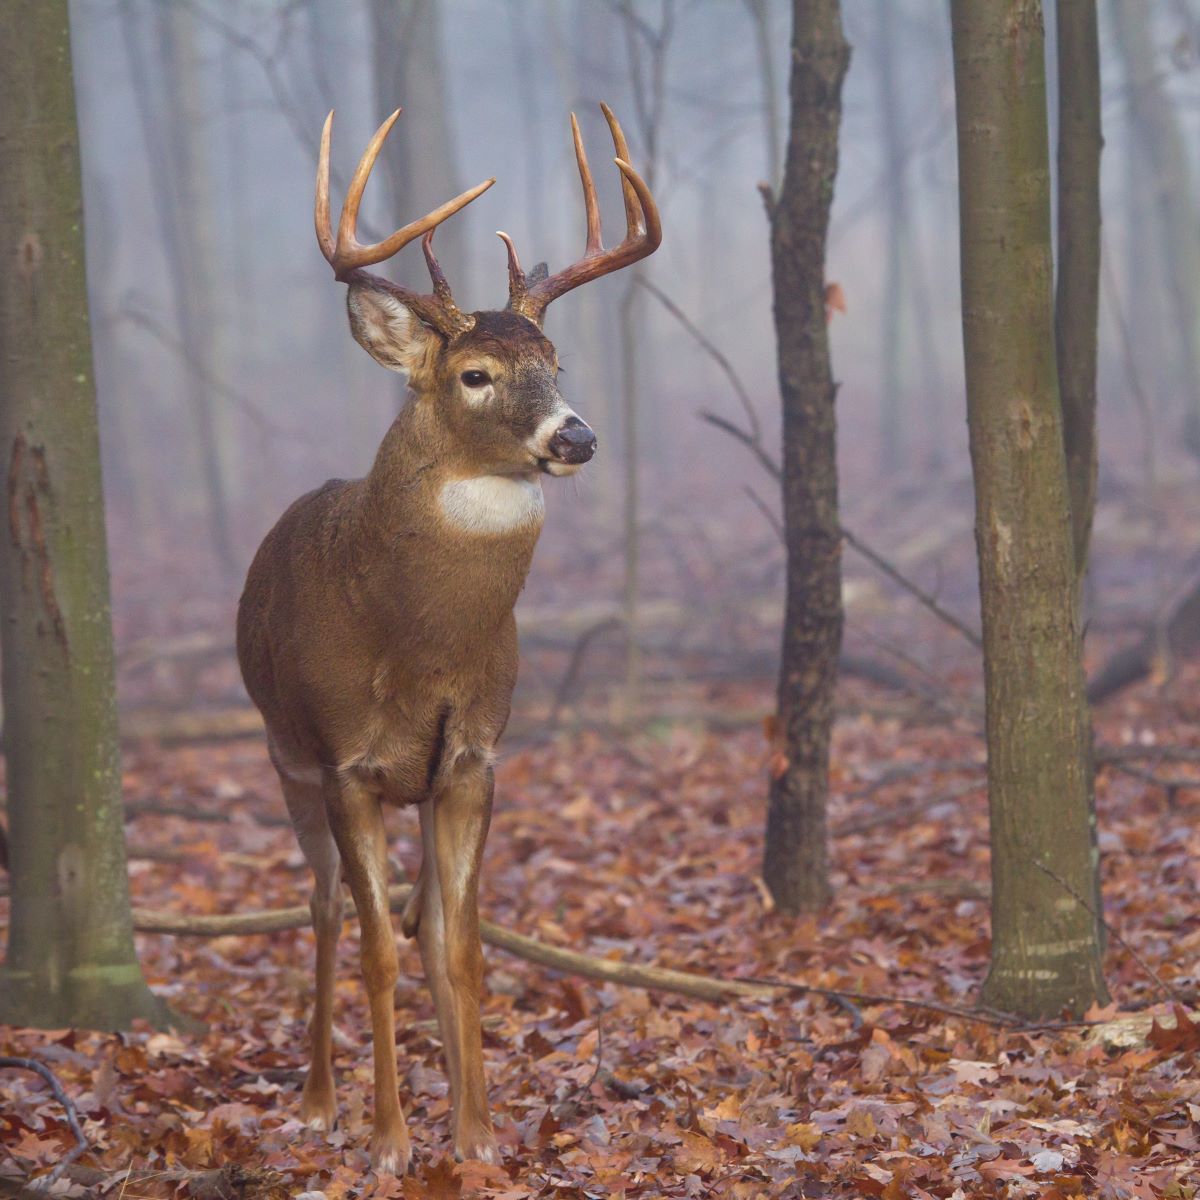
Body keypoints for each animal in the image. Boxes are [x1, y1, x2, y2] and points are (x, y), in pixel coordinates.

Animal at [235, 103, 662, 1171]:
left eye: (556, 364)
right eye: (475, 375)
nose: (576, 437)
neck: (415, 640)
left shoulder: (470, 758)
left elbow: (456, 945)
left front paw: (476, 1136)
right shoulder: (345, 761)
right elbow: (379, 949)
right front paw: (389, 1142)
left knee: (423, 918)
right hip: (283, 755)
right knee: (326, 910)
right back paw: (319, 1102)